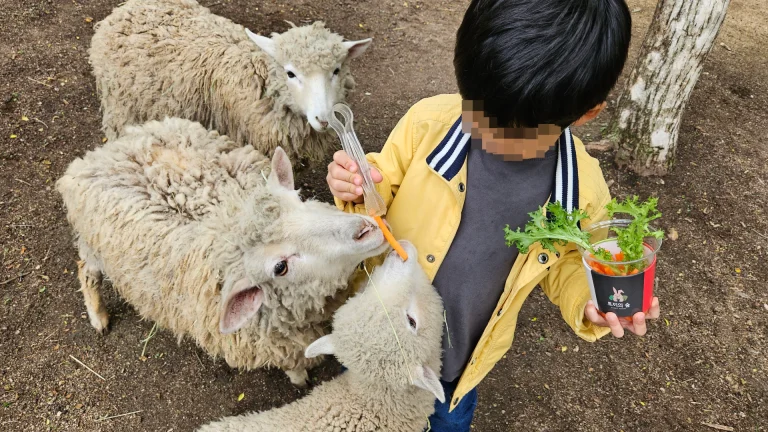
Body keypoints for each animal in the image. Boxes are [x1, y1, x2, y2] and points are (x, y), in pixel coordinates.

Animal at [56, 116, 390, 386]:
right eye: (279, 267)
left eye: (300, 201)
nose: (362, 230)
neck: (226, 219)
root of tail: (102, 153)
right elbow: (294, 364)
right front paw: (299, 379)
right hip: (94, 245)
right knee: (86, 271)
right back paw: (98, 317)